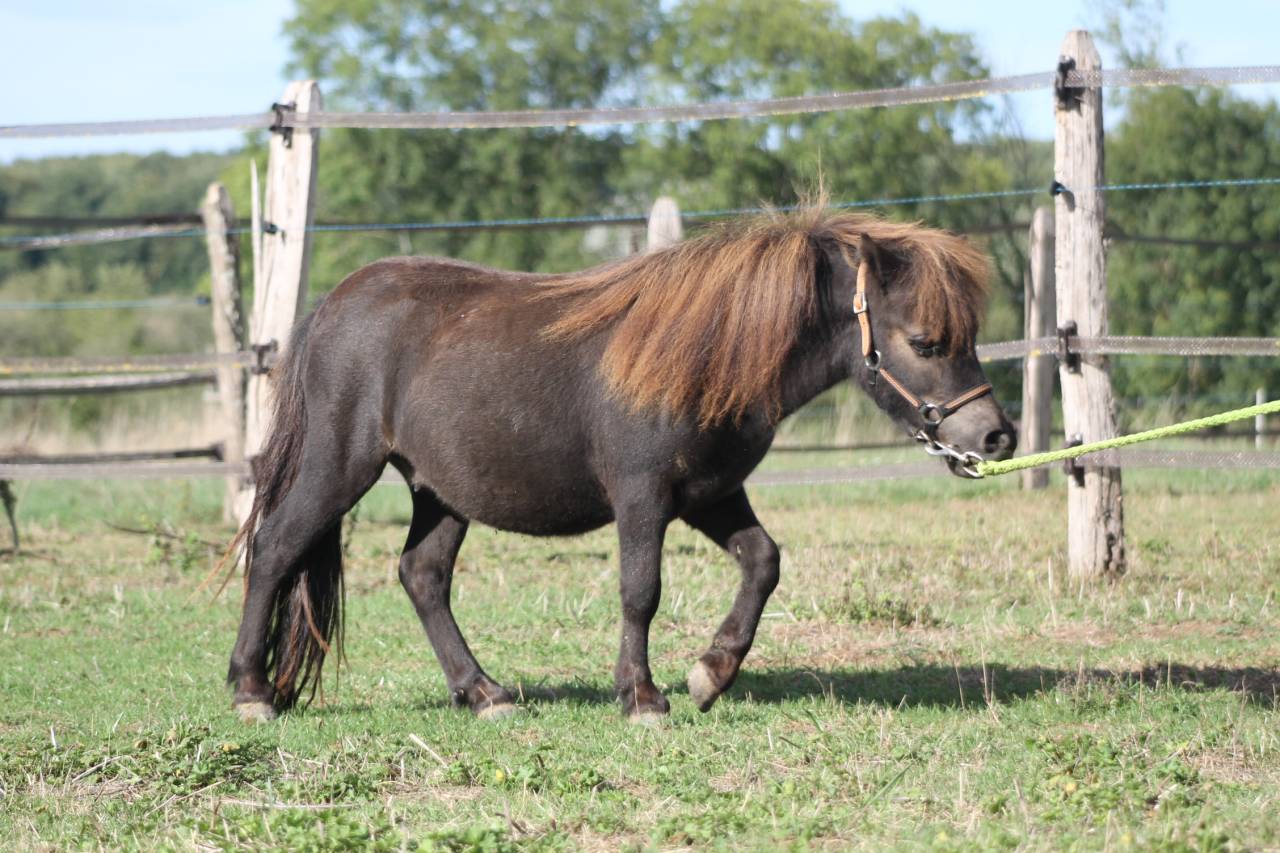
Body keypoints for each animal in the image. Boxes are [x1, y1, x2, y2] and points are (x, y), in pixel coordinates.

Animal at [226, 205, 1016, 724]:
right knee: (277, 547)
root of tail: (329, 309)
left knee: (422, 576)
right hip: (340, 466)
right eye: (926, 340)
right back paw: (252, 692)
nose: (995, 437)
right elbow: (642, 591)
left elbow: (763, 561)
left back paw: (484, 694)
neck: (704, 349)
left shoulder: (711, 493)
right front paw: (642, 696)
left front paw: (710, 674)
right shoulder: (644, 498)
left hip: (440, 490)